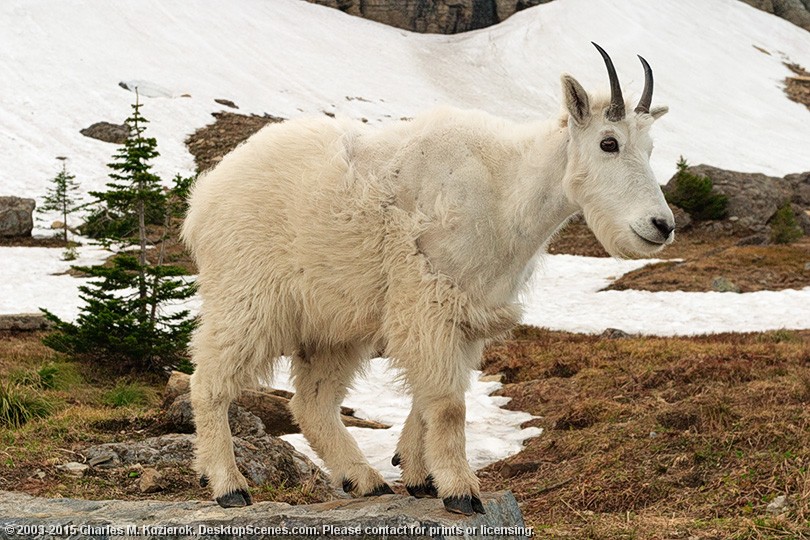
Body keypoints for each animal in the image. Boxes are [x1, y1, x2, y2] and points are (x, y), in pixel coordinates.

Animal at [181, 42, 668, 516]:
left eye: (649, 148)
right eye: (608, 143)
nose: (662, 226)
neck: (507, 192)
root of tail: (203, 200)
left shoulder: (467, 316)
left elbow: (430, 397)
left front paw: (418, 476)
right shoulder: (430, 301)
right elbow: (449, 404)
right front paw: (460, 491)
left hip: (334, 324)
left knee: (312, 403)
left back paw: (365, 480)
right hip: (247, 297)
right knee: (209, 381)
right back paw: (228, 485)